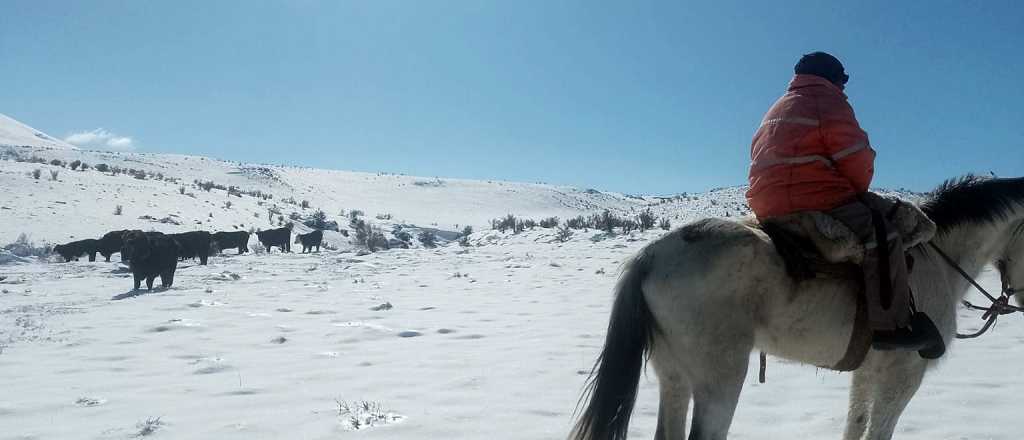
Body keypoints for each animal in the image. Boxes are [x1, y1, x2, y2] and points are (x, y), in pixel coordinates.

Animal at [573, 176, 1019, 440]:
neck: (939, 260)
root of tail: (649, 257)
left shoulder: (868, 372)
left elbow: (855, 427)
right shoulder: (904, 376)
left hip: (673, 375)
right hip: (720, 379)